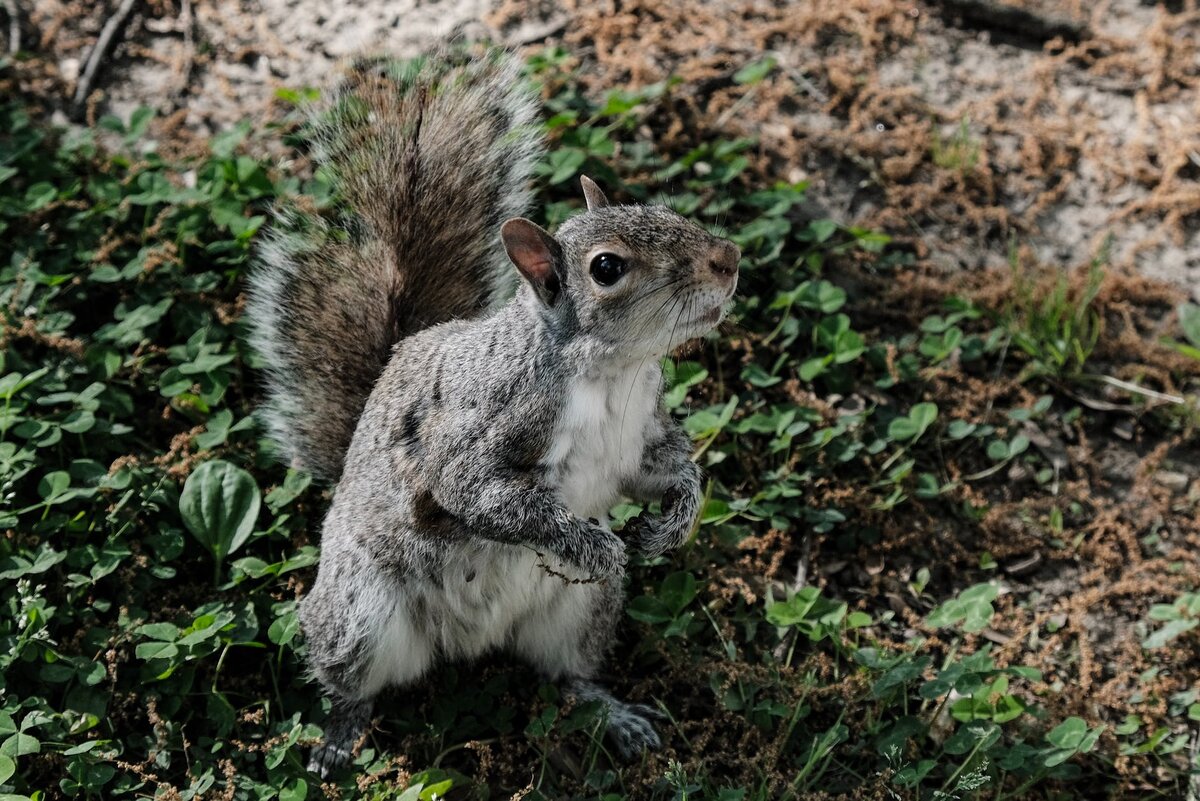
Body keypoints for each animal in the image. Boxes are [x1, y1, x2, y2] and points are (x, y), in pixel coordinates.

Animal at [246, 50, 739, 777]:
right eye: (607, 268)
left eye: (656, 208)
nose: (727, 259)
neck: (613, 374)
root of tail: (467, 643)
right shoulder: (490, 420)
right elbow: (474, 490)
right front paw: (598, 543)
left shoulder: (643, 429)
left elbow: (664, 470)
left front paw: (671, 523)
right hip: (359, 612)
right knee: (349, 683)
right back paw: (339, 736)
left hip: (581, 611)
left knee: (568, 674)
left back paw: (612, 713)